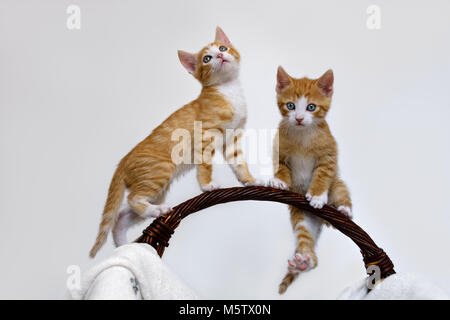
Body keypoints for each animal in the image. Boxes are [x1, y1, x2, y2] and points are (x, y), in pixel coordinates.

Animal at [88, 26, 258, 258]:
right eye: (206, 58)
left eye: (223, 48)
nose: (220, 55)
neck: (228, 91)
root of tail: (122, 162)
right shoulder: (206, 135)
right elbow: (205, 165)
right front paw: (207, 185)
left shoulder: (232, 139)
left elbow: (239, 162)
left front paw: (252, 180)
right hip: (160, 172)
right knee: (133, 199)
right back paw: (156, 212)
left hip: (157, 189)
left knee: (121, 217)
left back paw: (125, 242)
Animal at [268, 66, 354, 294]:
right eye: (290, 106)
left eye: (311, 107)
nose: (298, 118)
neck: (302, 135)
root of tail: (324, 221)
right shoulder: (279, 151)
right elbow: (281, 168)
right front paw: (279, 182)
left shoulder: (329, 155)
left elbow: (322, 175)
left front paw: (316, 196)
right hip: (302, 218)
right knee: (308, 244)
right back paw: (304, 262)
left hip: (338, 184)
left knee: (341, 191)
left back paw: (344, 210)